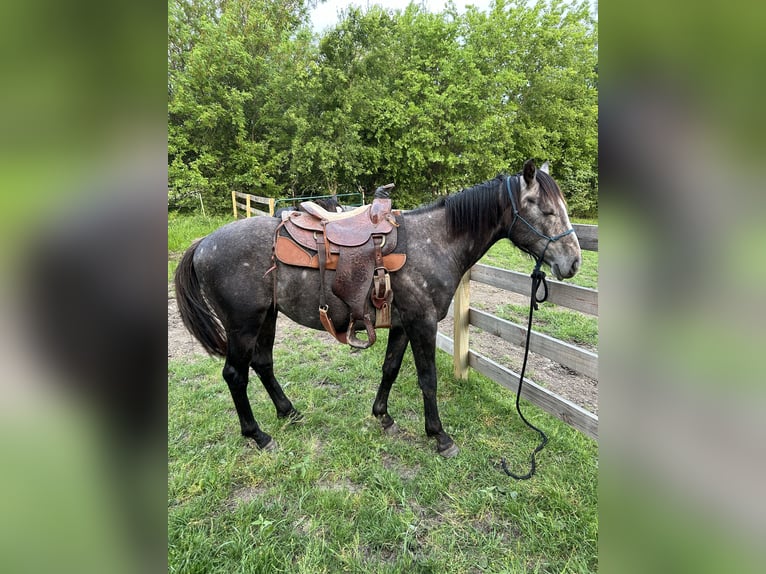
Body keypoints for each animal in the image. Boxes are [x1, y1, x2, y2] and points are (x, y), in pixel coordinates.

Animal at [174, 162, 584, 460]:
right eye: (547, 210)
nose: (574, 262)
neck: (435, 243)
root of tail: (203, 244)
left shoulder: (402, 325)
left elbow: (390, 368)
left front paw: (383, 416)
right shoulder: (423, 324)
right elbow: (427, 380)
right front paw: (440, 436)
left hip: (267, 318)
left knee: (263, 364)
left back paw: (288, 412)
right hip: (242, 325)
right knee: (235, 375)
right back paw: (258, 435)